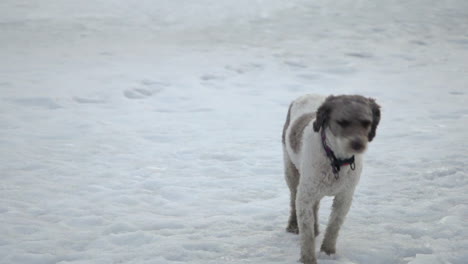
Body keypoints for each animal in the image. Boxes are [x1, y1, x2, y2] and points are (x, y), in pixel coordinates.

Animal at [282, 94, 380, 262]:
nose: (357, 144)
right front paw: (308, 259)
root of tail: (307, 94)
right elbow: (306, 234)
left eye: (366, 123)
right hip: (291, 172)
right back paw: (294, 226)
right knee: (293, 198)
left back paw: (316, 229)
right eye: (342, 122)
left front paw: (327, 252)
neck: (336, 160)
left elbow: (334, 225)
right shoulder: (305, 196)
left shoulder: (345, 196)